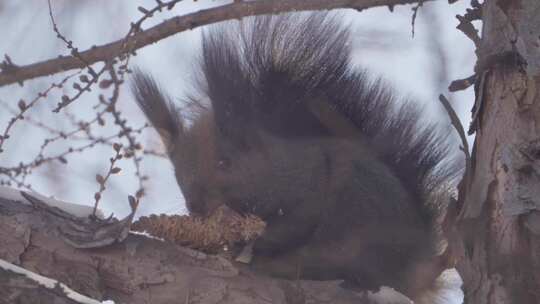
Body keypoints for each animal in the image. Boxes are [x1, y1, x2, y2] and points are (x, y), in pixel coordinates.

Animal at [130, 12, 460, 304]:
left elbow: (293, 224)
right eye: (178, 173)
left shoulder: (309, 187)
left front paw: (254, 243)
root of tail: (420, 265)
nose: (196, 207)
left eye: (226, 162)